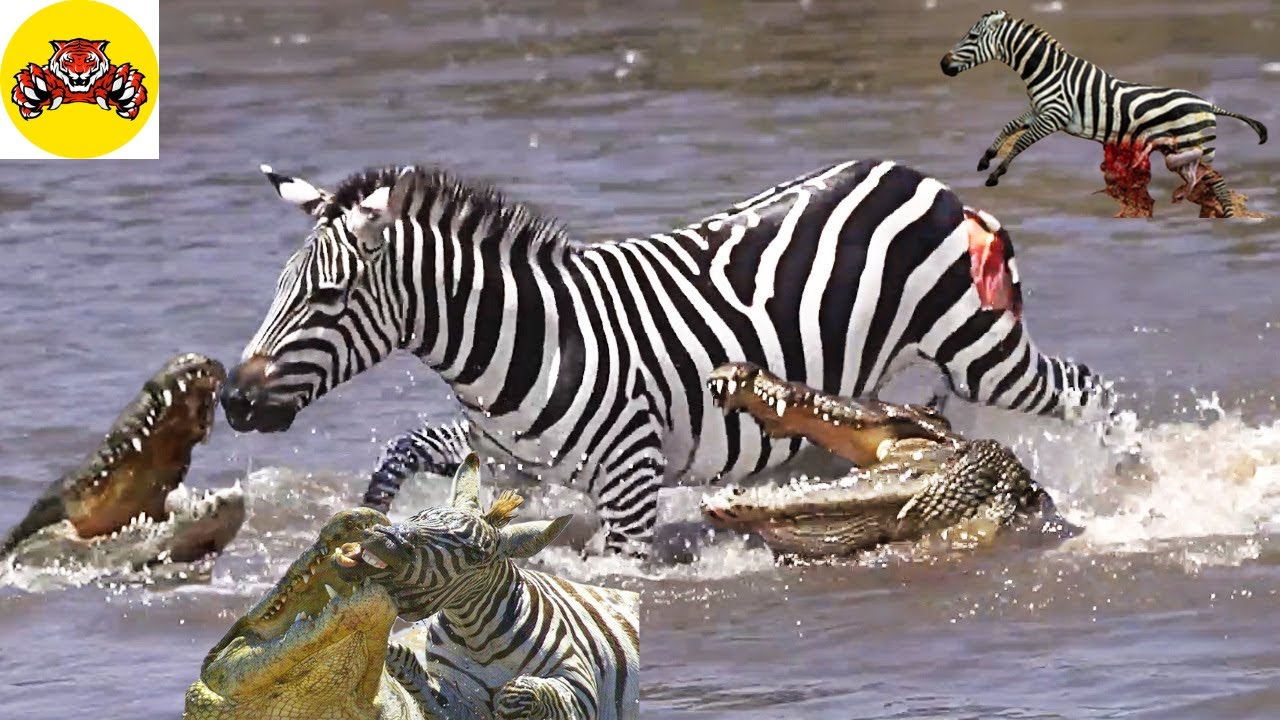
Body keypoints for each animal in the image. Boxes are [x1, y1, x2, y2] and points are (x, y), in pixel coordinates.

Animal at [219, 158, 1113, 555]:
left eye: (326, 299)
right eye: (278, 289)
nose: (232, 400)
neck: (530, 339)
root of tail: (928, 182)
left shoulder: (631, 479)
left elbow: (614, 576)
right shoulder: (507, 457)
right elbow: (411, 449)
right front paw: (375, 513)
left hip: (977, 346)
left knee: (1087, 391)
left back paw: (1124, 475)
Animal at [353, 453, 640, 720]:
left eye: (474, 556)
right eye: (419, 516)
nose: (385, 540)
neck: (478, 641)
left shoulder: (580, 690)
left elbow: (523, 691)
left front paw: (509, 704)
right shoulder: (457, 703)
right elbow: (408, 667)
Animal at [940, 10, 1268, 216]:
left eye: (971, 37)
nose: (943, 65)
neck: (1048, 71)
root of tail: (1209, 105)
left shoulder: (1053, 116)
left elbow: (1020, 141)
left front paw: (996, 174)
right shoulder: (1039, 111)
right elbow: (1009, 126)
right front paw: (985, 159)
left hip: (1193, 147)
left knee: (1217, 182)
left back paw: (1225, 216)